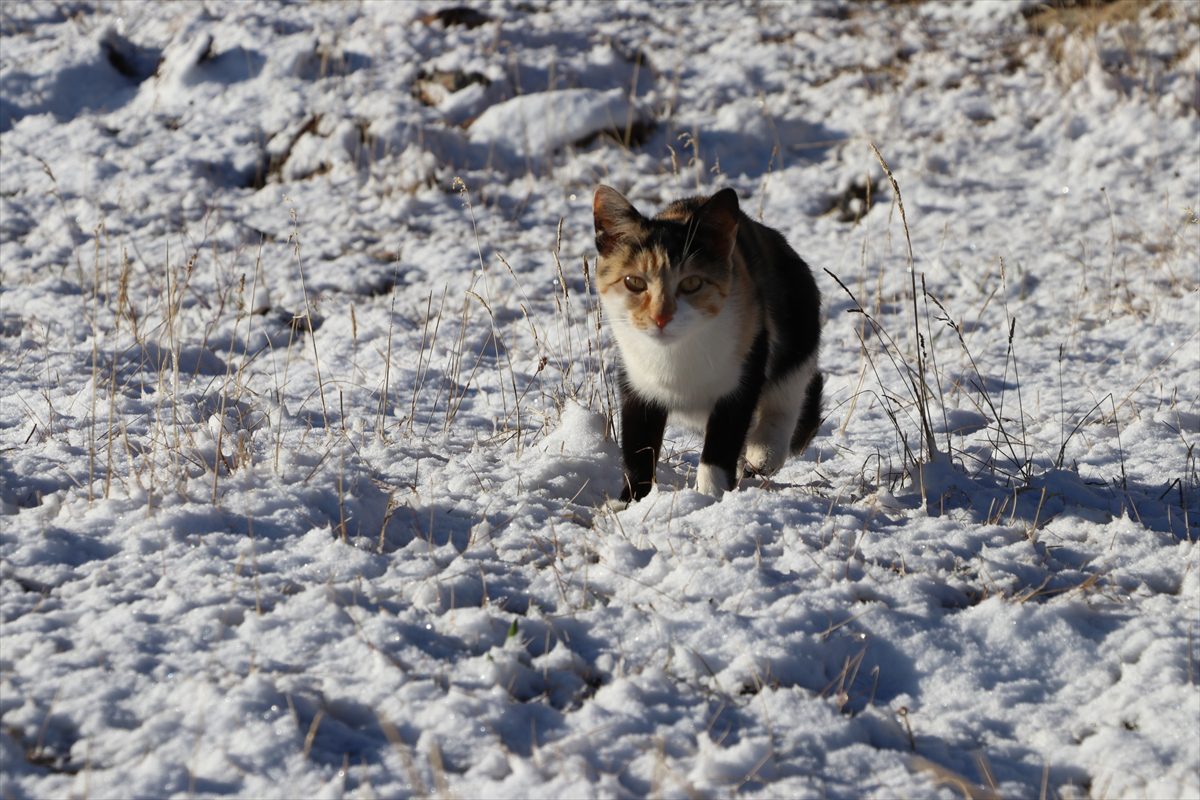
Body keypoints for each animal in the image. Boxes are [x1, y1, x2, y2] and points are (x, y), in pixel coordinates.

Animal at [592, 184, 825, 503]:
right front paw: (629, 503)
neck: (676, 357)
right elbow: (638, 448)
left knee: (793, 390)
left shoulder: (743, 375)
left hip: (798, 325)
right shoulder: (636, 382)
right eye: (634, 282)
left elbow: (720, 446)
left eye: (692, 283)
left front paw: (710, 496)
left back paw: (764, 451)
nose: (661, 317)